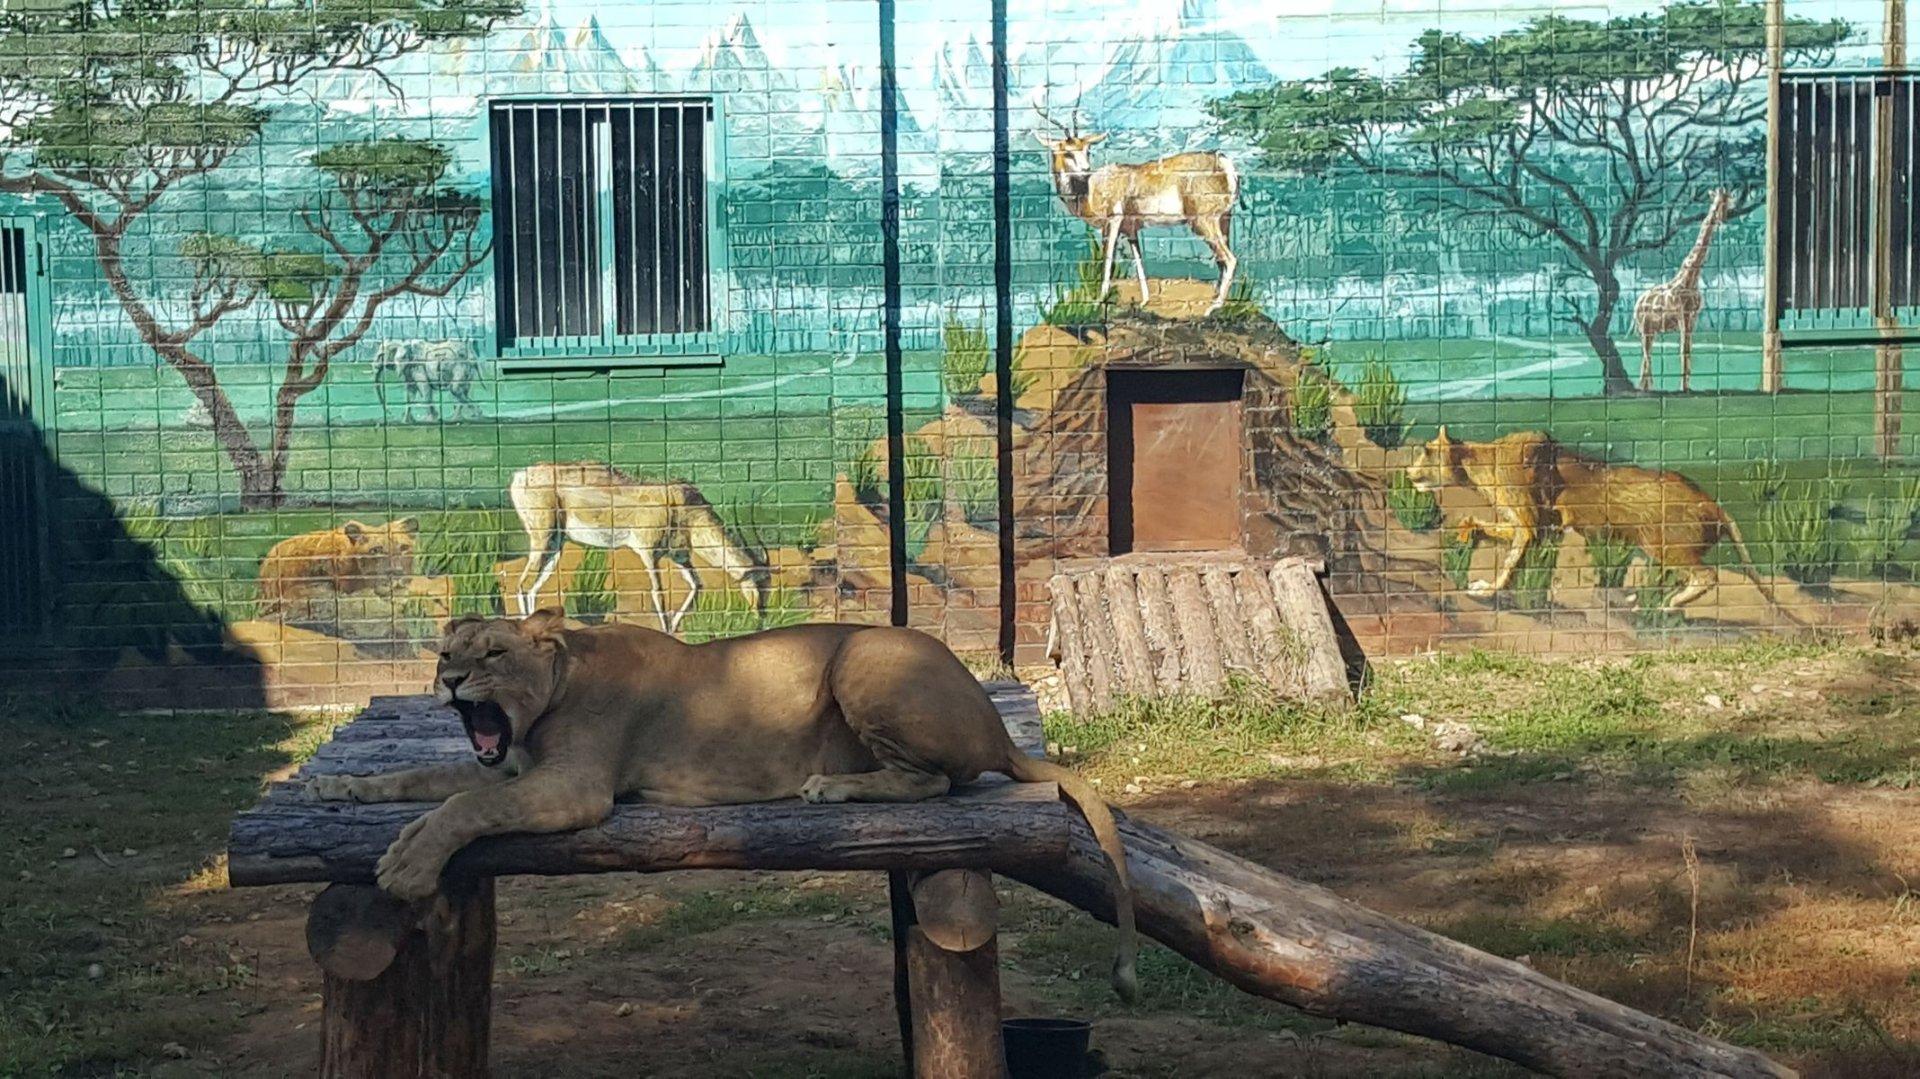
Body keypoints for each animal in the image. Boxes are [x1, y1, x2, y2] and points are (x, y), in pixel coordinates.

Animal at [1036, 104, 1244, 311]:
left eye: (1087, 151)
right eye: (1068, 152)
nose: (1086, 171)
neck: (1090, 190)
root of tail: (1222, 161)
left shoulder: (1113, 222)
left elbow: (1108, 258)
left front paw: (1099, 300)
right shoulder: (1131, 229)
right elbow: (1139, 261)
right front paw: (1144, 301)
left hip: (1203, 222)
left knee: (1230, 259)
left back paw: (1214, 307)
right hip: (1224, 219)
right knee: (1222, 260)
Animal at [1635, 191, 1743, 393]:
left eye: (1726, 202)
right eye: (1716, 202)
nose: (1722, 218)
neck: (1690, 277)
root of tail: (1637, 302)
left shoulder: (1693, 317)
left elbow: (1688, 348)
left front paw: (1687, 386)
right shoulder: (1682, 315)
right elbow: (1683, 349)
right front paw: (1682, 387)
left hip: (1651, 330)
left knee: (1647, 353)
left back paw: (1645, 387)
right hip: (1644, 327)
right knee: (1646, 353)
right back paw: (1645, 387)